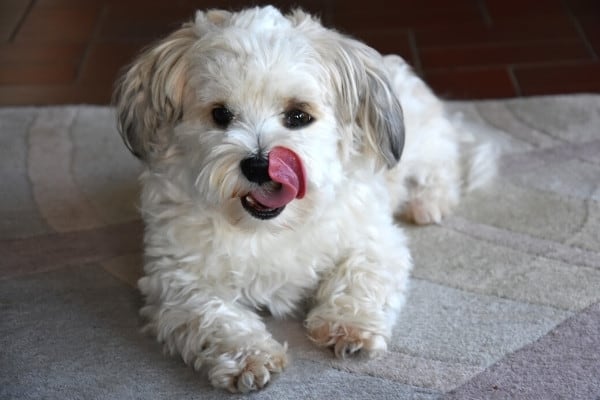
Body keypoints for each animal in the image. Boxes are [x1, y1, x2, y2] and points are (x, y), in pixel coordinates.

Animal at [115, 5, 494, 394]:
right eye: (220, 114)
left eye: (298, 115)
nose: (258, 164)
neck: (271, 227)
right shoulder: (177, 281)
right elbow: (214, 315)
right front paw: (249, 357)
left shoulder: (375, 241)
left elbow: (360, 274)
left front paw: (349, 326)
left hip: (423, 145)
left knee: (443, 168)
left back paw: (428, 203)